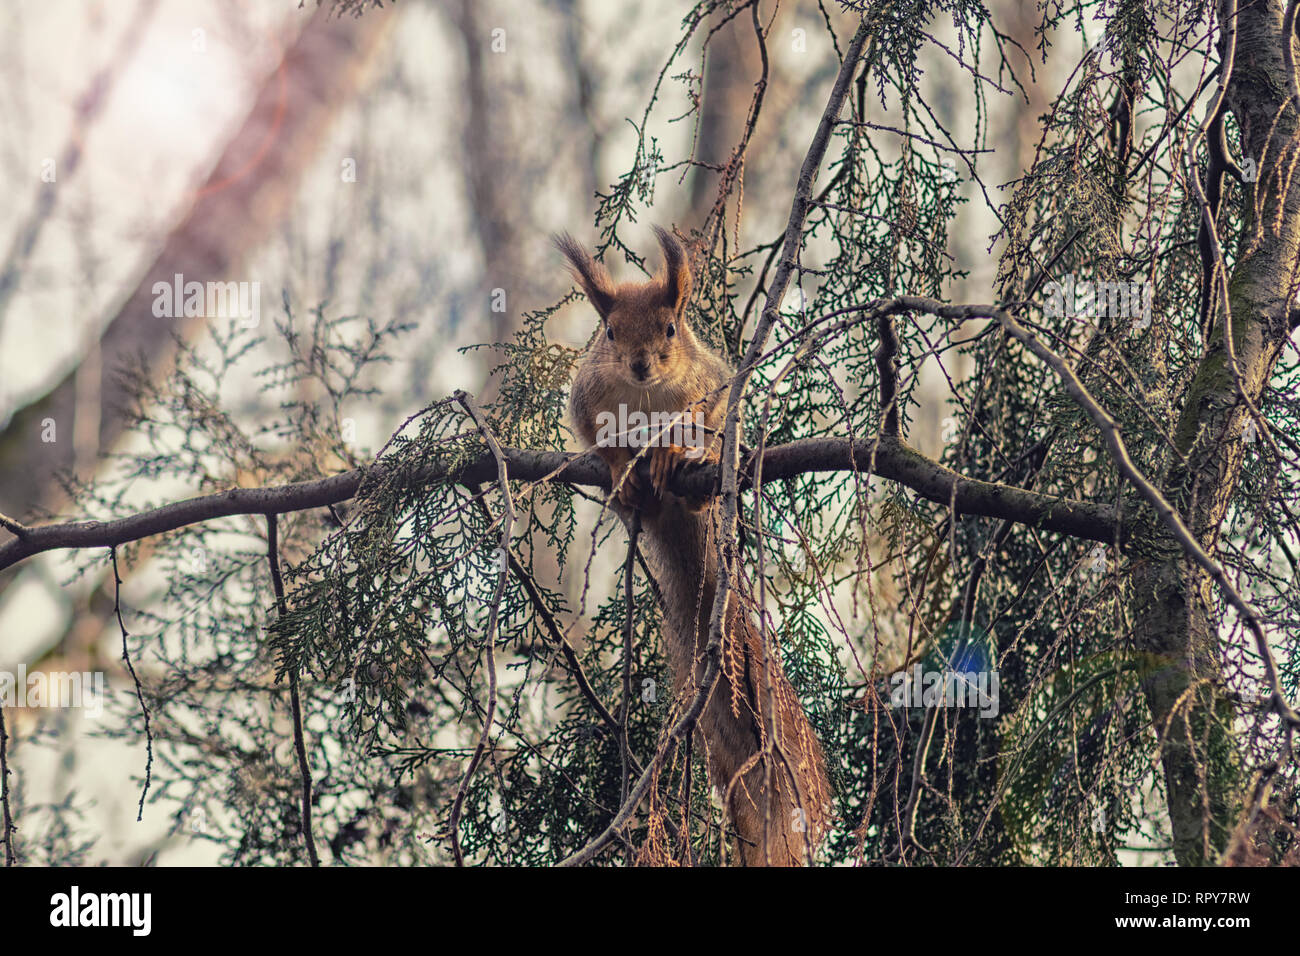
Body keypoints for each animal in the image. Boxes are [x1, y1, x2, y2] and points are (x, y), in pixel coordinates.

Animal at [558, 226, 831, 866]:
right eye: (608, 332)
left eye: (670, 328)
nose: (638, 365)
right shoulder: (587, 401)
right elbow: (596, 441)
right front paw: (621, 467)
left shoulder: (708, 390)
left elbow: (705, 421)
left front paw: (668, 453)